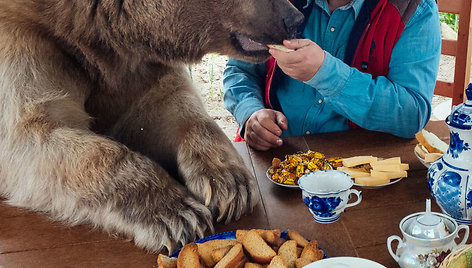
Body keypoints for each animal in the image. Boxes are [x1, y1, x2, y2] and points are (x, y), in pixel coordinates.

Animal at [0, 0, 302, 252]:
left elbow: (170, 104)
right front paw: (176, 212)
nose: (295, 19)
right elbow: (34, 131)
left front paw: (228, 183)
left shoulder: (137, 68)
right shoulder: (27, 38)